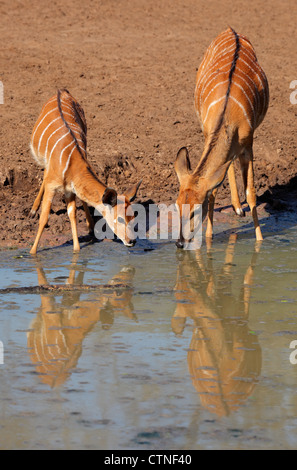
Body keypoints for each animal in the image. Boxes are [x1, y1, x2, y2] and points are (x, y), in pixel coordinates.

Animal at [28, 89, 141, 255]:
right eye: (120, 218)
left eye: (132, 216)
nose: (132, 241)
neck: (71, 164)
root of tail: (62, 91)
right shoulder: (51, 186)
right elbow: (43, 219)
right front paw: (32, 252)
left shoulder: (69, 191)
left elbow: (72, 215)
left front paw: (77, 251)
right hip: (43, 162)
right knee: (44, 175)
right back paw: (32, 210)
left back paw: (90, 226)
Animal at [173, 27, 268, 248]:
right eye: (176, 205)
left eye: (194, 211)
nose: (180, 243)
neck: (228, 111)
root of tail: (230, 30)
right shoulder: (208, 133)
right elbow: (214, 190)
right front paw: (208, 237)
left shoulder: (248, 144)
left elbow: (251, 193)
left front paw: (260, 243)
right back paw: (236, 207)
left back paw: (238, 208)